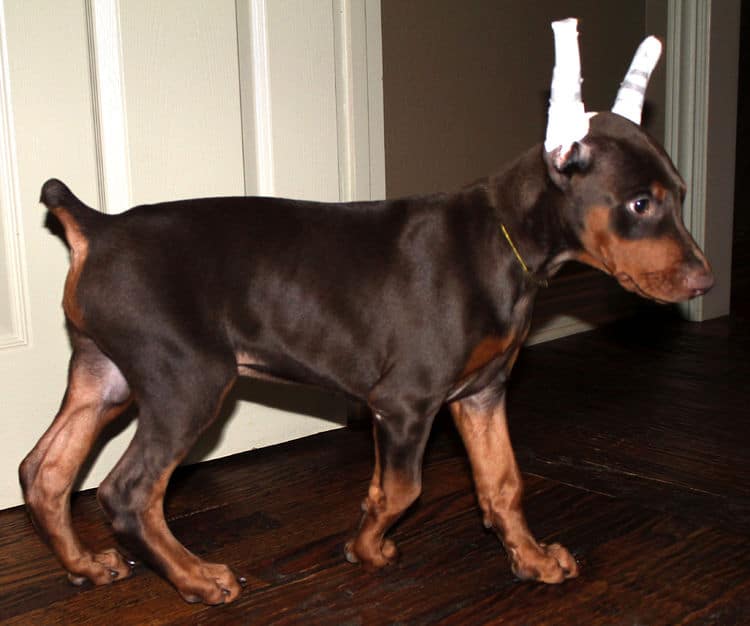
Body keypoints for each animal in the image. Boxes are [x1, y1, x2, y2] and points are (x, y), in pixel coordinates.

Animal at [17, 19, 712, 604]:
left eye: (679, 194)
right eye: (641, 204)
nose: (705, 280)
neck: (506, 241)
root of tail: (98, 226)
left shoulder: (481, 395)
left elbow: (504, 484)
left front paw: (532, 560)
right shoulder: (406, 402)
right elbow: (403, 487)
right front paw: (365, 546)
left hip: (105, 374)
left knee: (44, 471)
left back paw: (86, 566)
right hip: (186, 379)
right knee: (128, 492)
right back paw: (196, 577)